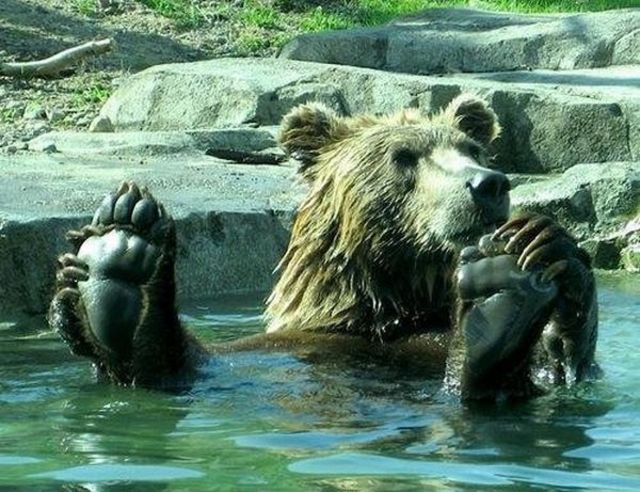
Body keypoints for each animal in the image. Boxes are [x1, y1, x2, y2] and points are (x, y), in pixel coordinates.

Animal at [46, 95, 600, 400]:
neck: (387, 307)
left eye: (472, 149)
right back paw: (123, 254)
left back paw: (501, 290)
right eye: (404, 156)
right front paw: (119, 245)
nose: (487, 184)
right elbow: (193, 365)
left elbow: (561, 367)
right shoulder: (280, 348)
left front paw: (540, 247)